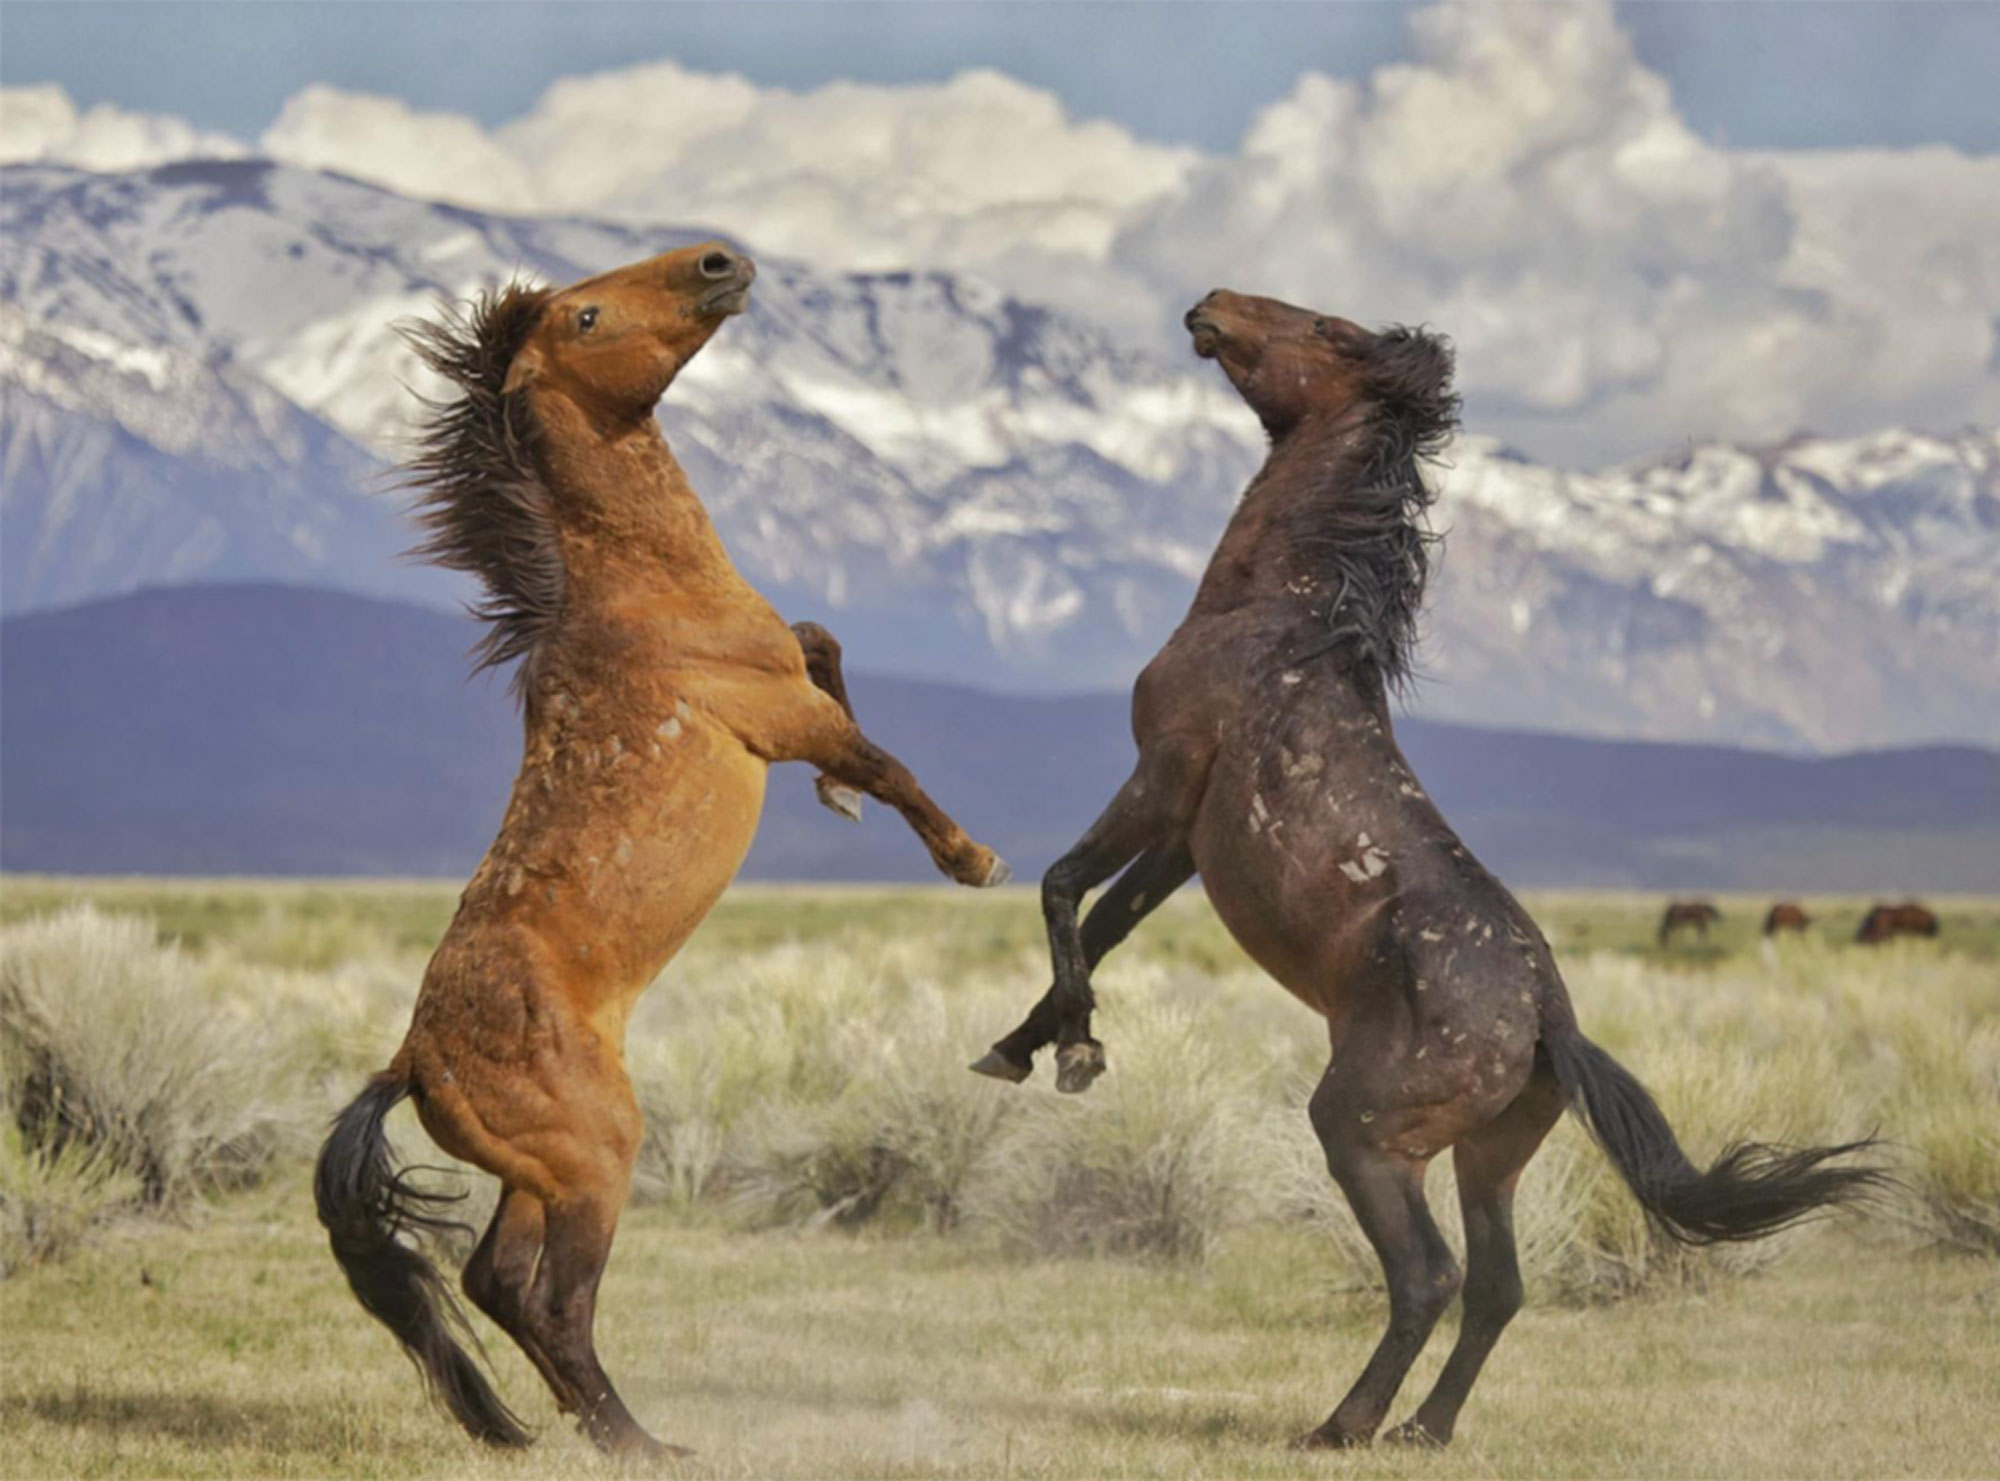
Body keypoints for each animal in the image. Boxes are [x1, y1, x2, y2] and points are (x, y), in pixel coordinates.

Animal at [318, 243, 1008, 1456]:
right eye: (586, 314)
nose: (720, 261)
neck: (644, 584)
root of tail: (411, 1059)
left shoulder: (788, 674)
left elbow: (824, 643)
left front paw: (841, 802)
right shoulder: (776, 716)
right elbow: (881, 758)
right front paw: (965, 858)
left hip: (537, 1173)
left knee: (497, 1283)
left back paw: (588, 1430)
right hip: (598, 1156)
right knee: (550, 1298)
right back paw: (644, 1441)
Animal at [976, 286, 1880, 1448]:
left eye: (1323, 329)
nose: (1209, 305)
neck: (1282, 617)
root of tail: (1547, 1024)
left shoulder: (1165, 772)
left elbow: (1060, 884)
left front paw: (1077, 1053)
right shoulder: (1184, 837)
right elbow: (1100, 924)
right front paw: (1021, 1047)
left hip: (1364, 1134)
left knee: (1427, 1276)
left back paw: (1339, 1424)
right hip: (1488, 1155)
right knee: (1498, 1285)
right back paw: (1423, 1428)